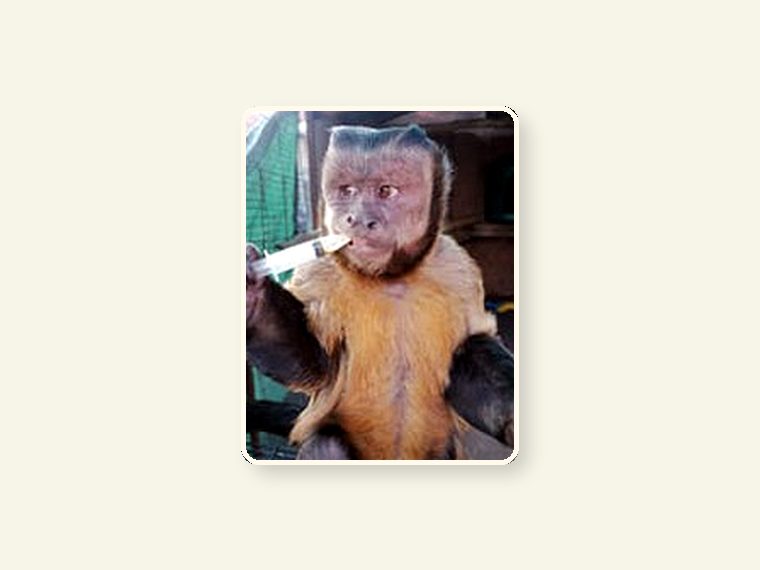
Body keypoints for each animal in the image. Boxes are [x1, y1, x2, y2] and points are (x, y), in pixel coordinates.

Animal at [246, 124, 514, 460]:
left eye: (385, 191)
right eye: (347, 191)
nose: (358, 219)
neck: (390, 279)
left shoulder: (457, 269)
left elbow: (470, 348)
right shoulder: (318, 271)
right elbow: (315, 365)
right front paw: (252, 295)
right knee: (326, 444)